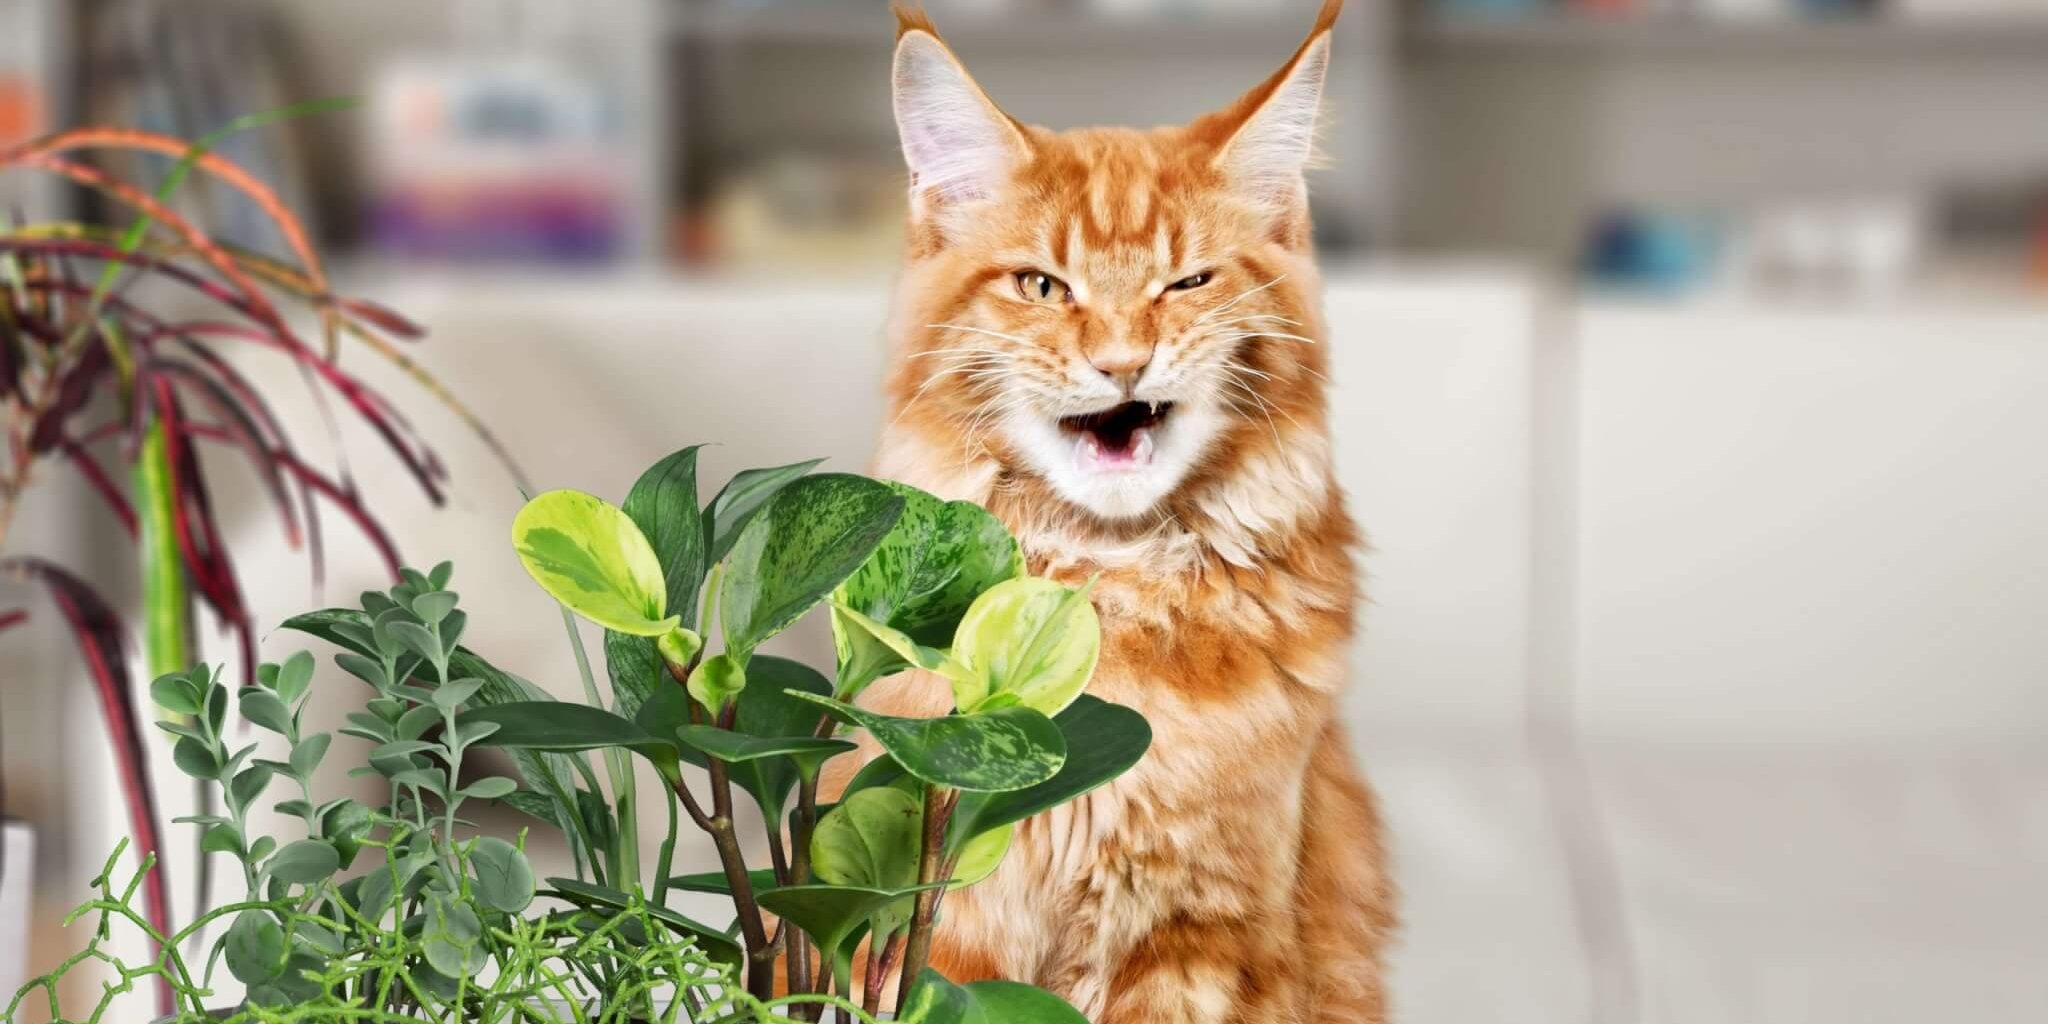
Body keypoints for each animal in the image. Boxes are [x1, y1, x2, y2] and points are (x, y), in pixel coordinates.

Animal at [831, 4, 1392, 1019]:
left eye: (1188, 284)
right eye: (1043, 287)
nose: (1124, 363)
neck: (1100, 605)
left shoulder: (1200, 930)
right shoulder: (937, 917)